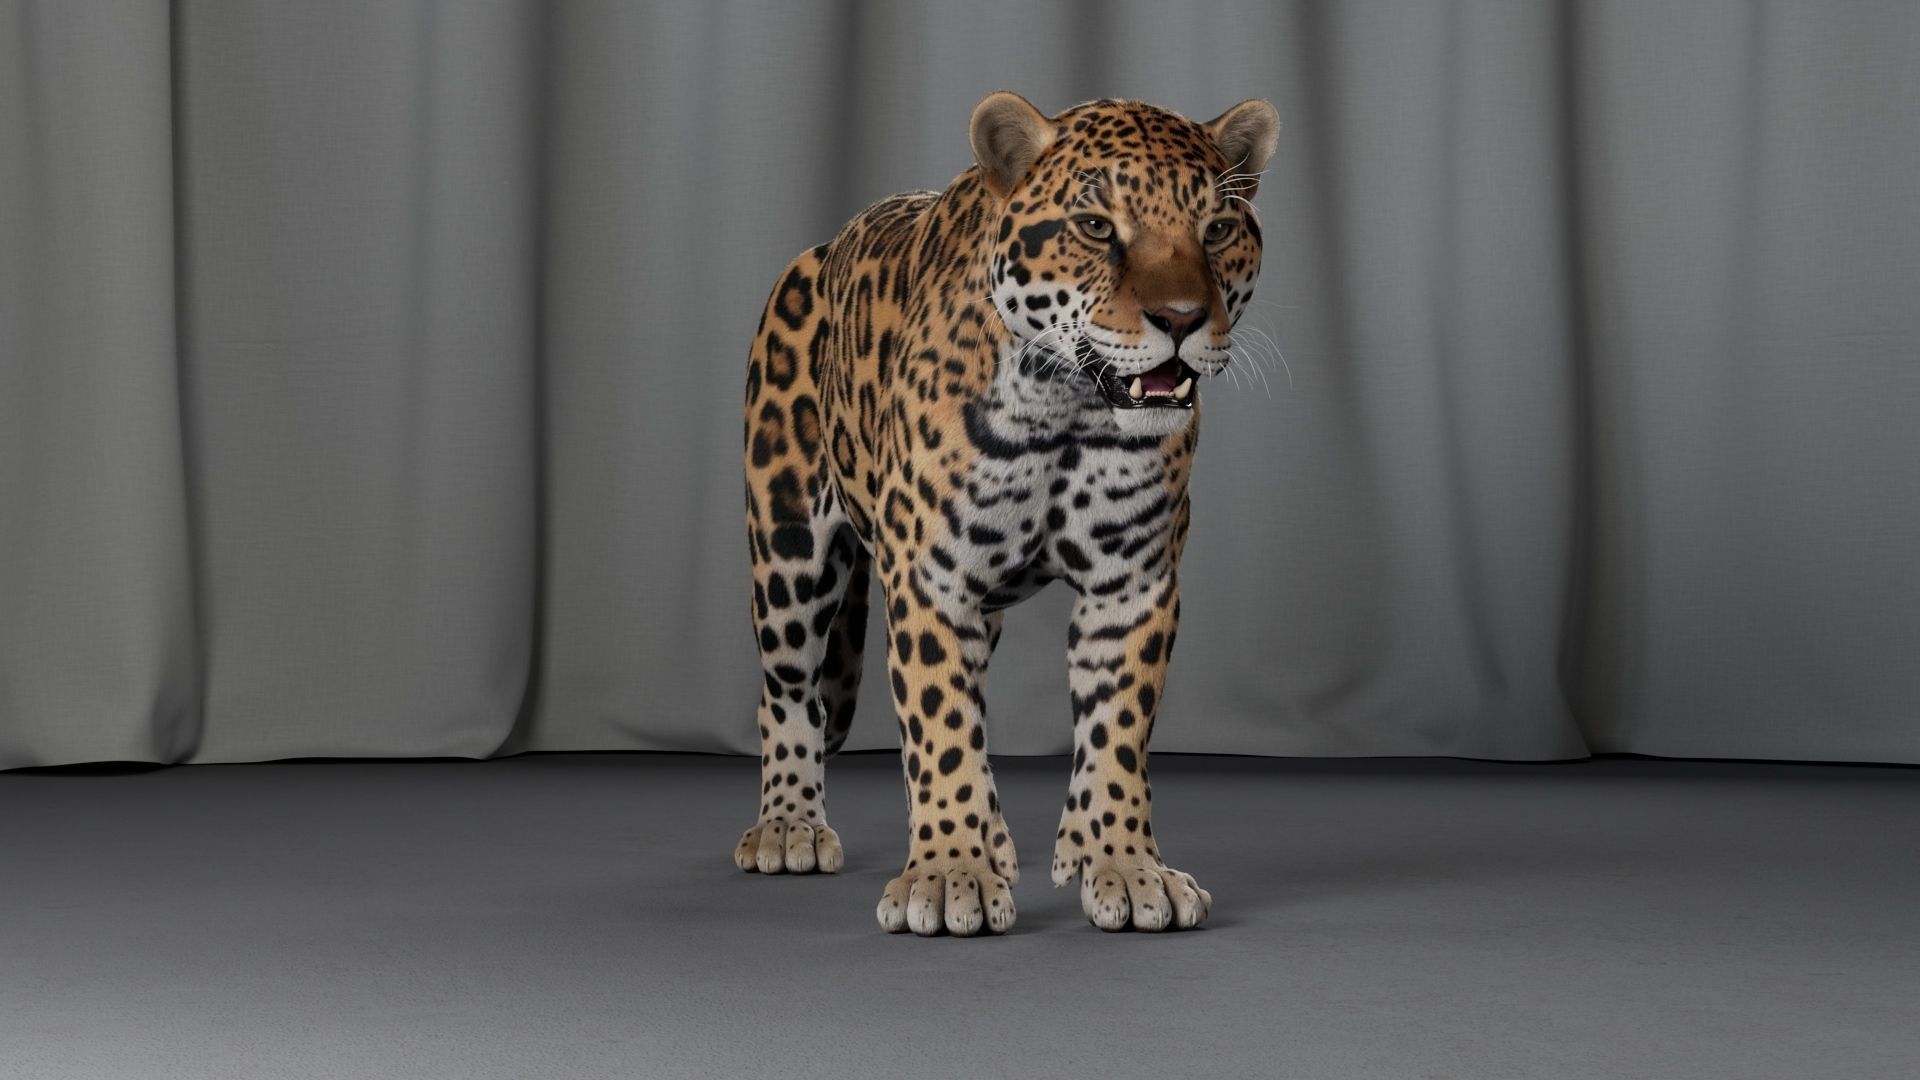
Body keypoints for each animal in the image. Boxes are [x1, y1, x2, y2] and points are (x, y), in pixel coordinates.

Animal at [735, 91, 1280, 935]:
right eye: (1096, 226)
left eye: (1217, 229)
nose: (1182, 318)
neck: (1068, 406)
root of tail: (823, 245)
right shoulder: (929, 578)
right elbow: (940, 727)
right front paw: (947, 874)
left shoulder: (1133, 583)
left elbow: (1117, 730)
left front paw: (1125, 865)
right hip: (789, 548)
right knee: (788, 692)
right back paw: (791, 824)